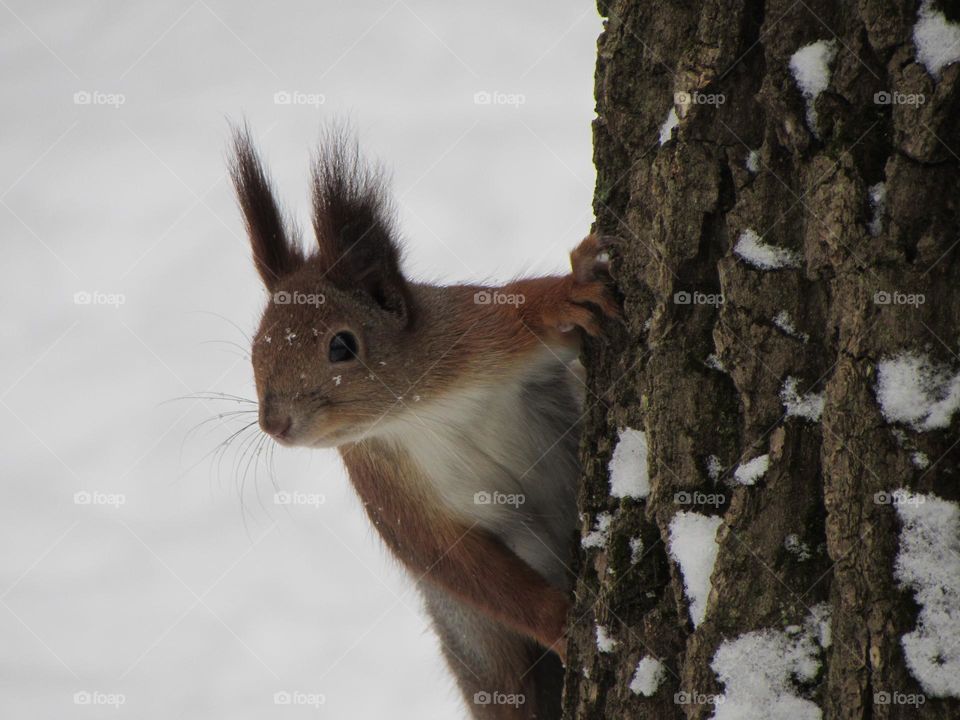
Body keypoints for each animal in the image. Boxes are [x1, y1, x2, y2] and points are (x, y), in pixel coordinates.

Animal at [230, 126, 620, 716]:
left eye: (342, 345)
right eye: (256, 347)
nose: (275, 424)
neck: (415, 413)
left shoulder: (479, 336)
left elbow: (530, 313)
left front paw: (569, 291)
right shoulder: (390, 490)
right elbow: (450, 559)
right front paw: (558, 622)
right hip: (478, 643)